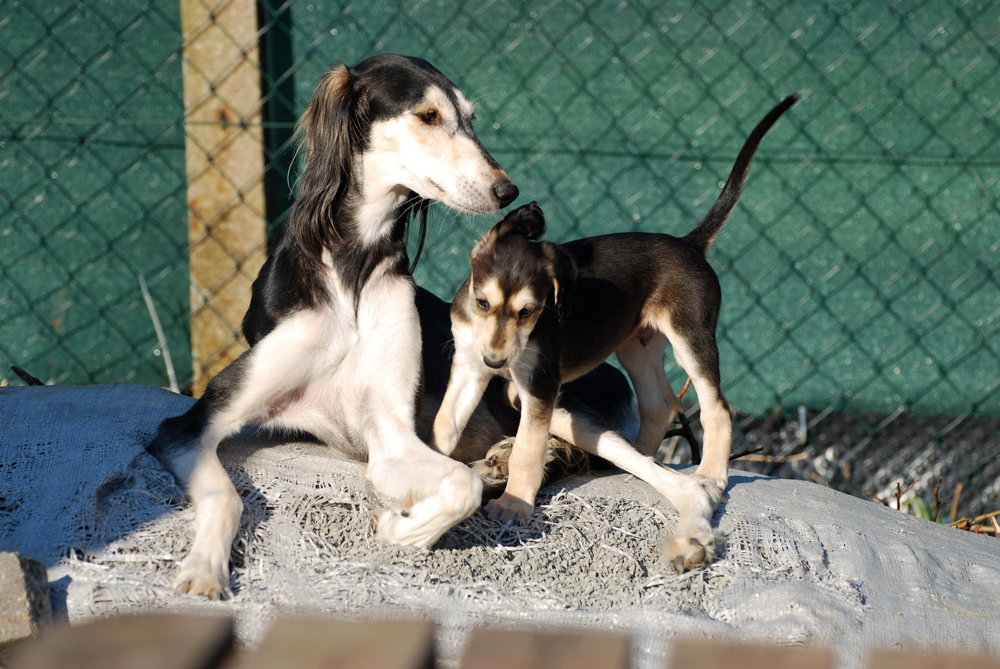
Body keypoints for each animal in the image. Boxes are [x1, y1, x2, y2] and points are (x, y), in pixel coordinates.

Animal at [431, 94, 799, 570]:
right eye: (481, 304)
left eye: (530, 312)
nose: (497, 361)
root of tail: (689, 243)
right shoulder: (470, 367)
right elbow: (443, 425)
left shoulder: (540, 384)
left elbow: (529, 449)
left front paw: (513, 504)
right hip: (636, 347)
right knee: (659, 405)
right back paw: (630, 461)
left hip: (691, 336)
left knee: (718, 407)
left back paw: (710, 477)